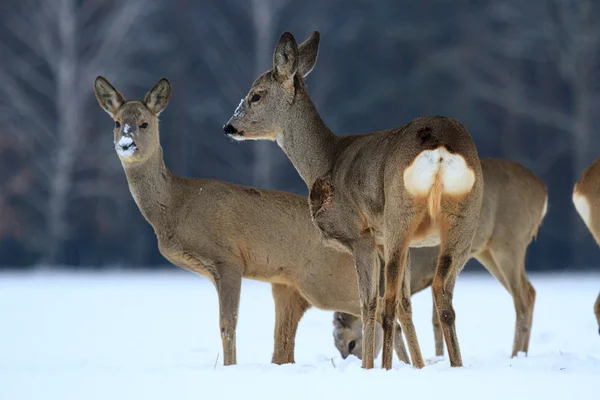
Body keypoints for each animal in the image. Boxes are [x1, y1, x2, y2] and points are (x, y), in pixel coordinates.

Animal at [94, 76, 412, 368]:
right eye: (116, 122)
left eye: (144, 123)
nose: (126, 144)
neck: (176, 205)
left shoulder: (228, 259)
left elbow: (228, 325)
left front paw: (230, 367)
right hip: (295, 285)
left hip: (327, 281)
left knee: (383, 312)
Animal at [223, 29, 486, 370]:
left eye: (255, 95)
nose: (228, 127)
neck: (325, 161)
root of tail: (441, 149)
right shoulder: (385, 242)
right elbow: (406, 304)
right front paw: (418, 366)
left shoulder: (361, 235)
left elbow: (369, 302)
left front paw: (369, 366)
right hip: (463, 220)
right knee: (442, 295)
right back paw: (455, 365)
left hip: (398, 215)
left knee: (388, 302)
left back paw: (385, 367)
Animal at [332, 158, 548, 360]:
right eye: (337, 346)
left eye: (351, 343)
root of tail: (543, 191)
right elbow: (435, 319)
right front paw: (439, 357)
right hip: (488, 251)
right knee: (530, 291)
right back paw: (522, 353)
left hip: (510, 242)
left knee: (523, 297)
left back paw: (516, 354)